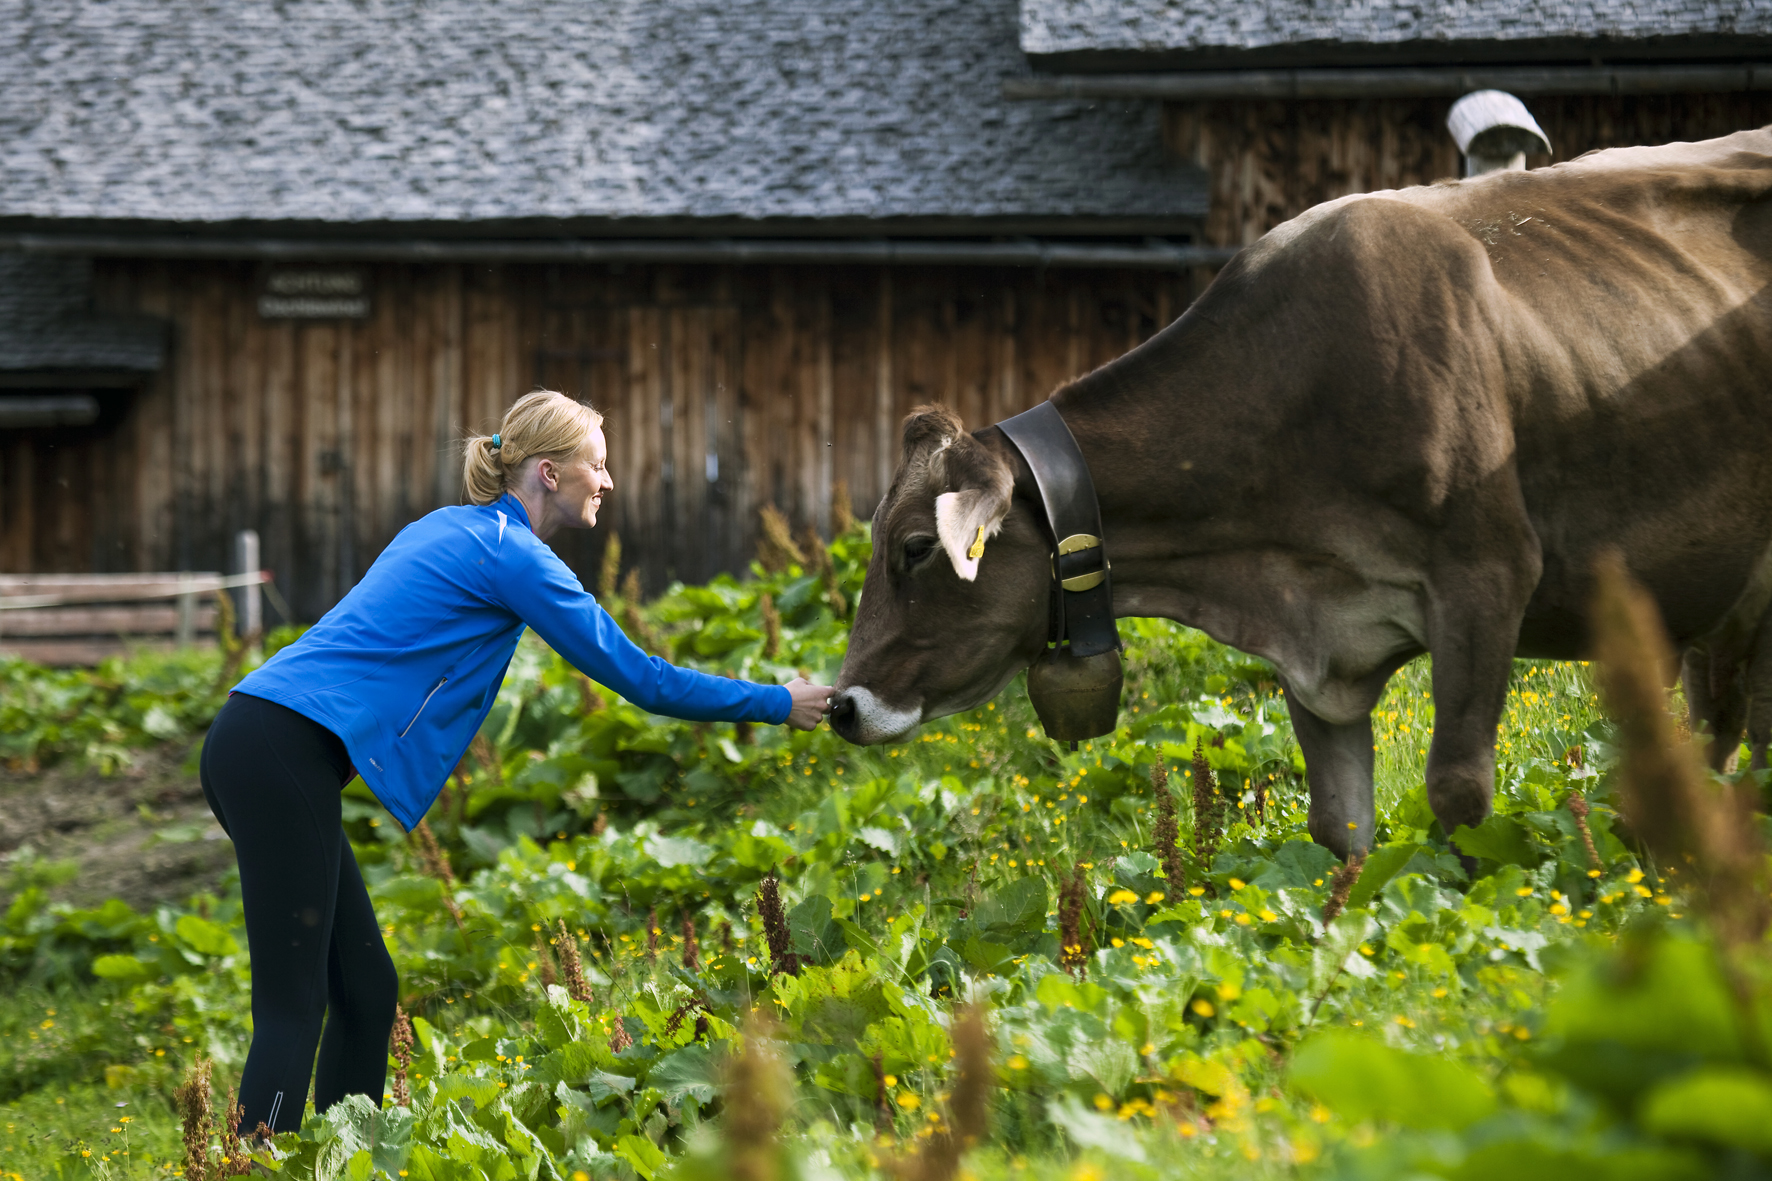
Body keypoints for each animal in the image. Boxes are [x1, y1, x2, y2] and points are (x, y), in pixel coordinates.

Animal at [829, 128, 1772, 860]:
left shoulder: (1487, 577)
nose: (843, 705)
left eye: (915, 547)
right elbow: (1338, 827)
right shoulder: (1317, 649)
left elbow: (1458, 792)